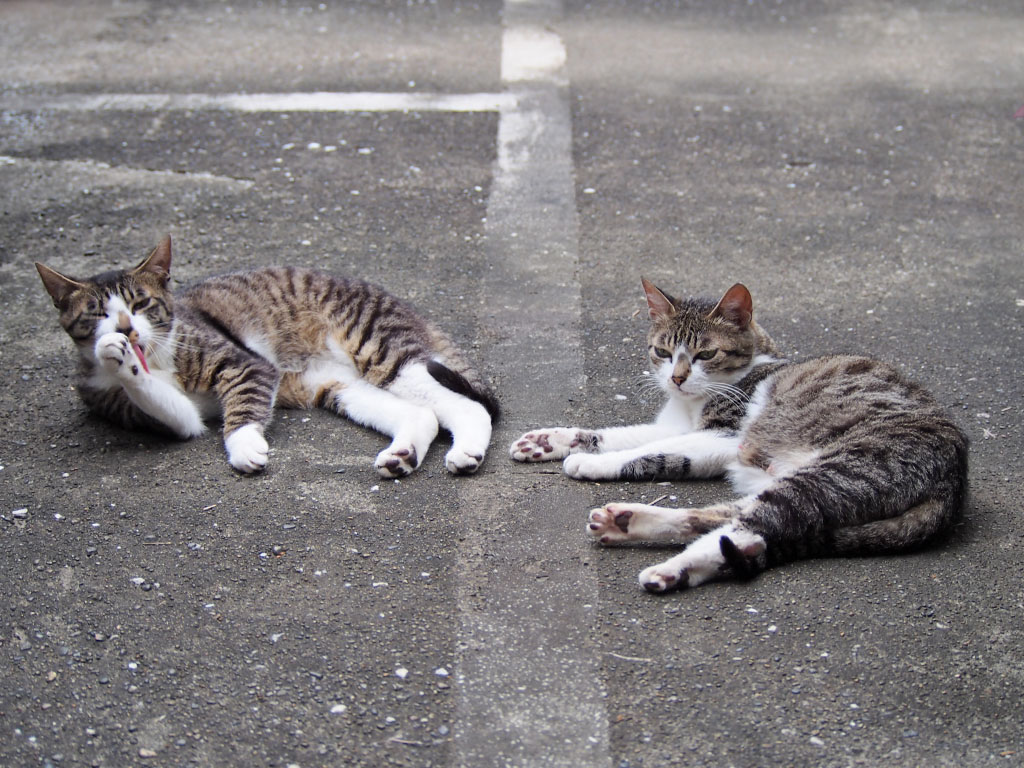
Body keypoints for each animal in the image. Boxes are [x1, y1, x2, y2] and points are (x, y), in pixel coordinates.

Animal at [38, 237, 499, 479]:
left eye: (141, 303)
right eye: (97, 313)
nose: (125, 329)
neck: (158, 355)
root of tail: (401, 302)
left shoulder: (245, 363)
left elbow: (243, 405)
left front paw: (244, 444)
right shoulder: (161, 415)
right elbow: (171, 408)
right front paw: (115, 355)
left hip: (378, 348)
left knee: (468, 405)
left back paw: (466, 452)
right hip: (337, 386)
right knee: (423, 414)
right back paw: (403, 455)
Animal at [512, 280, 966, 593]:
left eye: (706, 354)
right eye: (663, 352)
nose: (677, 379)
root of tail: (954, 482)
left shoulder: (725, 435)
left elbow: (649, 450)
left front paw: (588, 462)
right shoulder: (677, 428)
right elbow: (621, 436)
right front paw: (548, 441)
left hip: (836, 474)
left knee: (750, 529)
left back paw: (671, 567)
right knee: (729, 521)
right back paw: (626, 522)